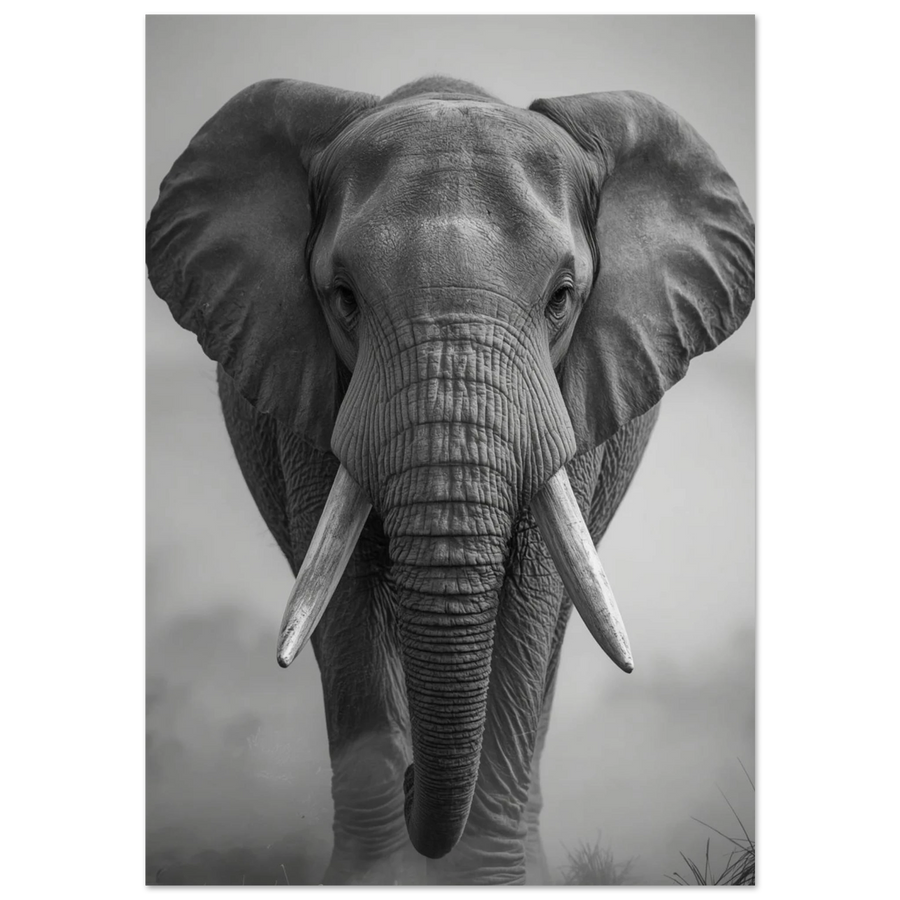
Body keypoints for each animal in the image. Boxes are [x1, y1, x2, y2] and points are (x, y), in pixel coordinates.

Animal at [145, 74, 755, 885]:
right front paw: (374, 881)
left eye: (562, 298)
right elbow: (343, 605)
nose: (412, 782)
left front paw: (493, 883)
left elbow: (529, 607)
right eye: (344, 297)